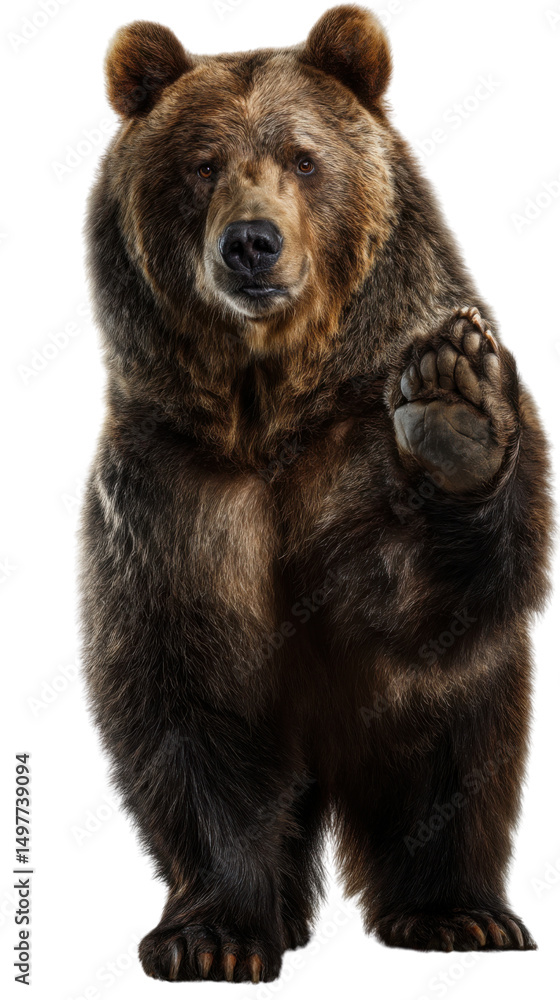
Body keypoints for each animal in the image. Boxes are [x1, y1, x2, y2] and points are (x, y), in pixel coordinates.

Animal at [79, 5, 552, 984]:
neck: (267, 410)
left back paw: (460, 913)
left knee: (453, 760)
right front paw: (213, 936)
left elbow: (423, 607)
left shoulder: (357, 444)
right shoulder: (173, 493)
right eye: (203, 163)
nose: (251, 242)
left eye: (302, 157)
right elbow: (191, 700)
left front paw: (455, 405)